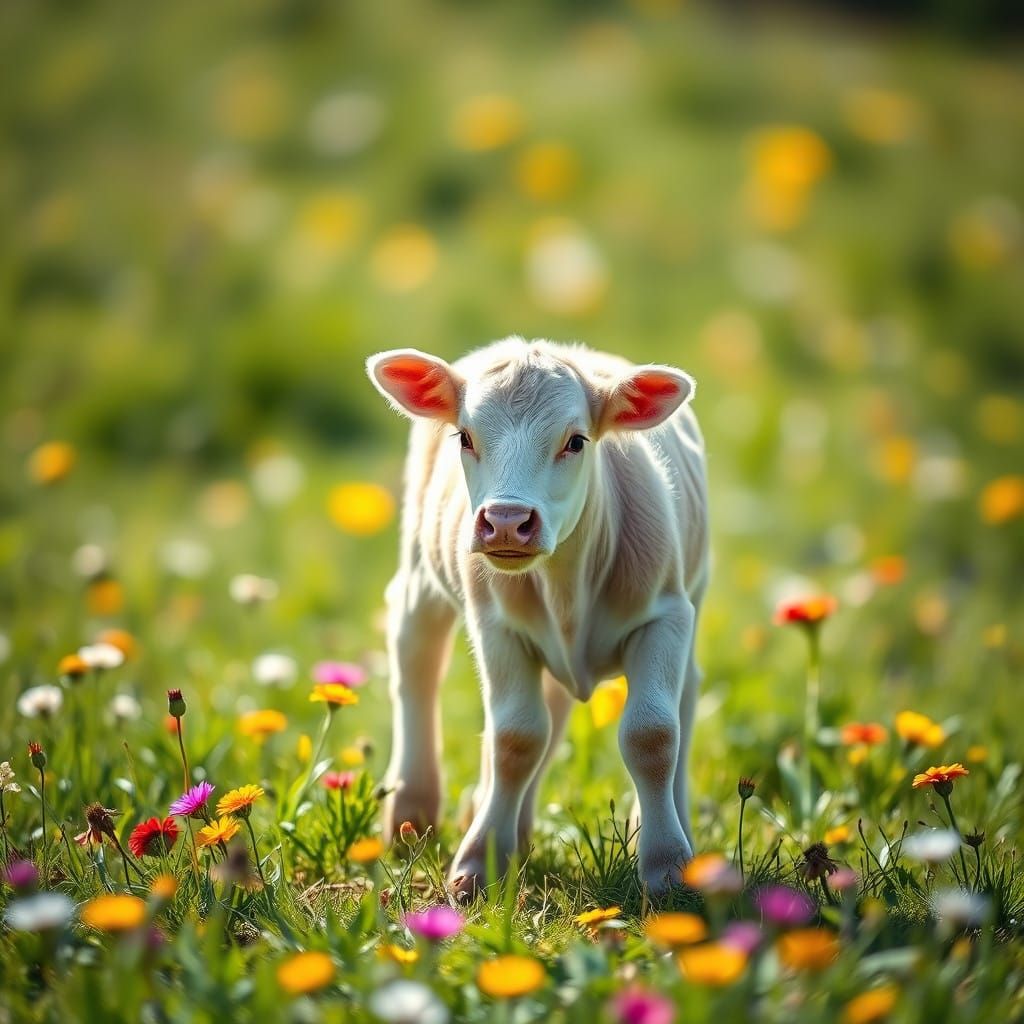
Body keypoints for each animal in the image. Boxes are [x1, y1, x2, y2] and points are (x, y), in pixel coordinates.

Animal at [366, 337, 709, 896]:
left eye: (576, 441)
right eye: (465, 437)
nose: (507, 521)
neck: (568, 586)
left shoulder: (667, 614)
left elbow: (654, 734)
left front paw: (669, 869)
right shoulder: (496, 627)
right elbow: (516, 738)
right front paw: (478, 864)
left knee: (677, 696)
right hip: (420, 572)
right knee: (418, 663)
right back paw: (412, 817)